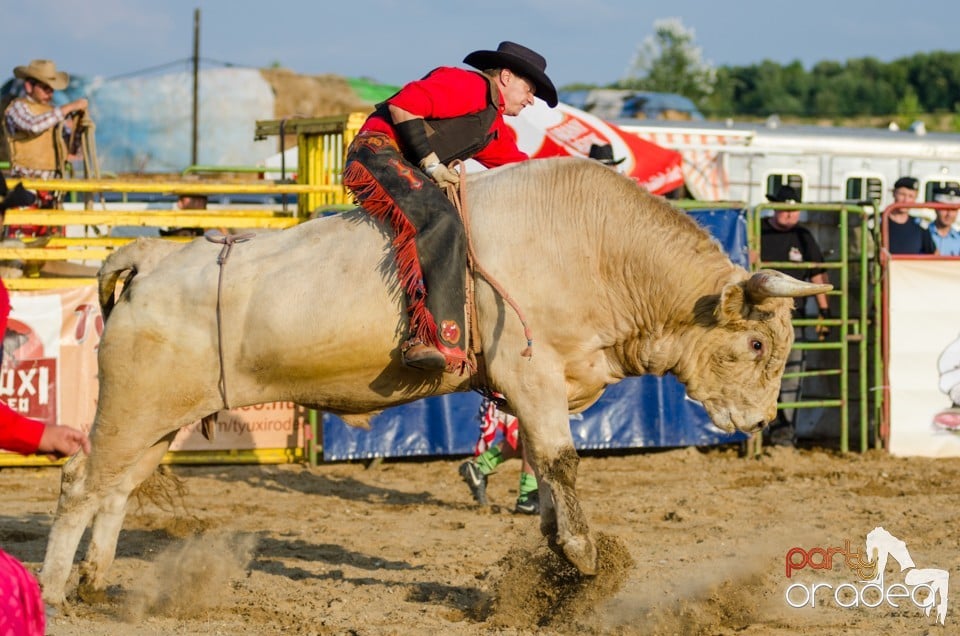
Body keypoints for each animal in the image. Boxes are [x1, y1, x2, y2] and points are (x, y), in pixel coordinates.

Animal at [41, 157, 828, 604]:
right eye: (757, 342)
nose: (760, 421)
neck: (596, 246)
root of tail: (148, 257)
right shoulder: (531, 372)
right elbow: (563, 460)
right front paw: (581, 558)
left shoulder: (537, 391)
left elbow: (542, 463)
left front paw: (553, 544)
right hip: (133, 409)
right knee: (82, 484)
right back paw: (50, 590)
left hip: (158, 421)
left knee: (116, 490)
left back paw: (96, 585)